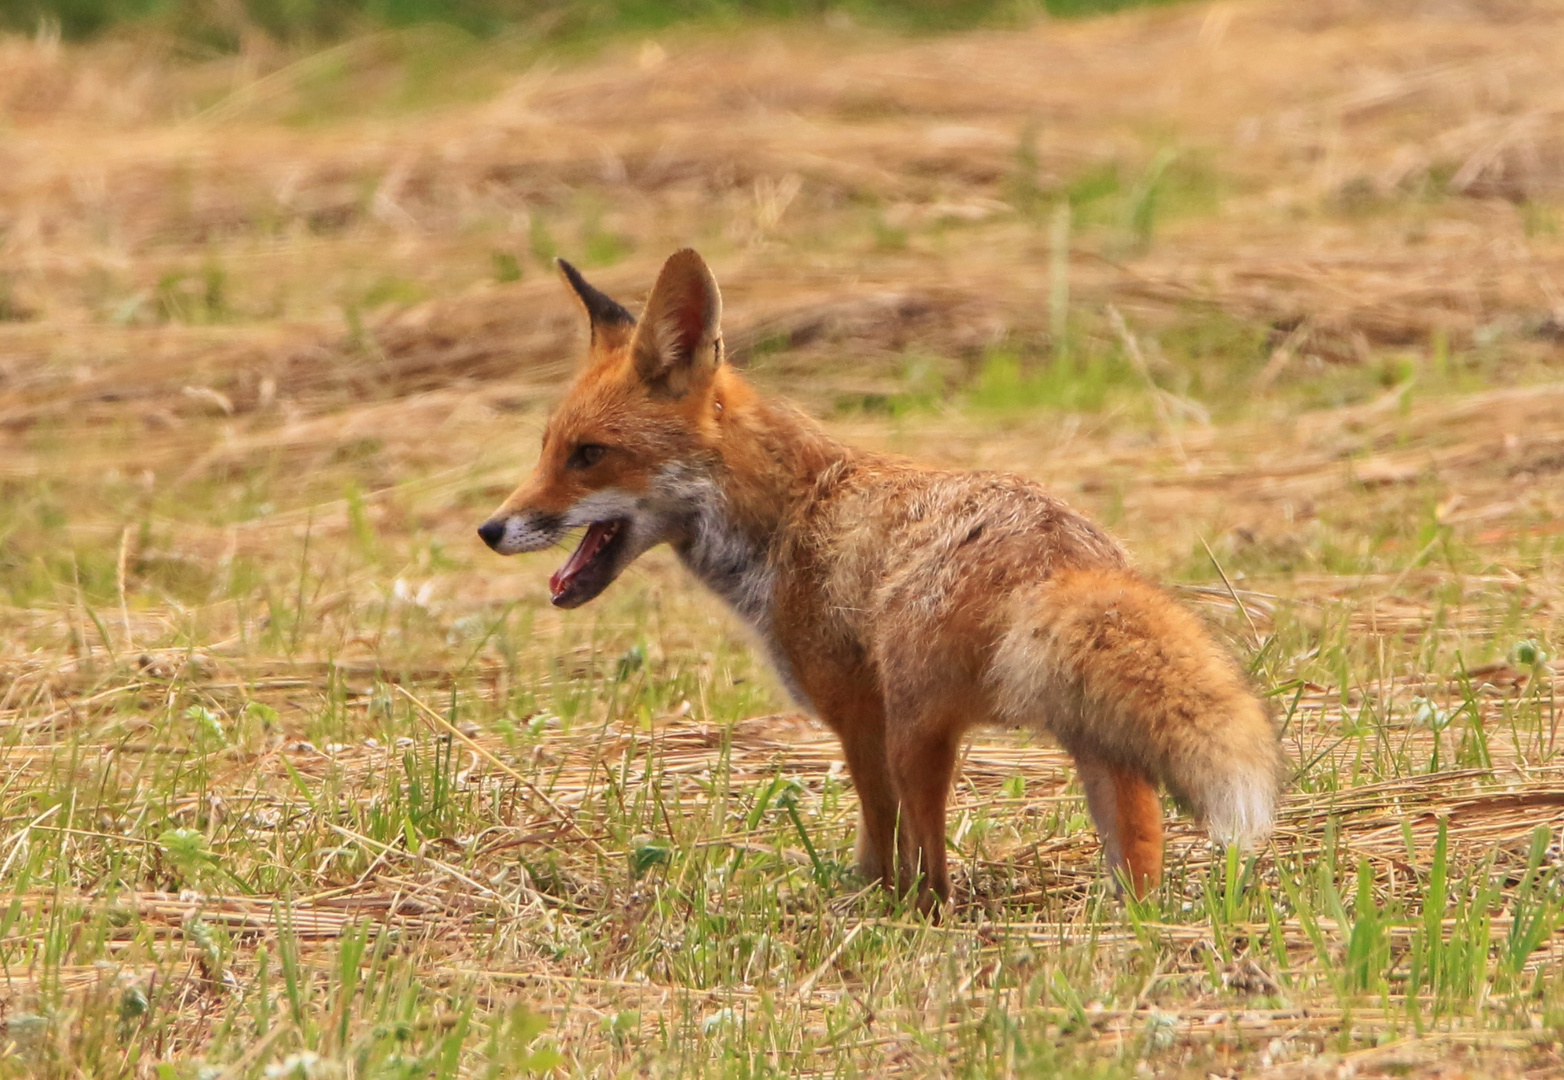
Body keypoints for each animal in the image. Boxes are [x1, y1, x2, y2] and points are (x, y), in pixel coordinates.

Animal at [478, 248, 1282, 906]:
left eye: (589, 455)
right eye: (547, 448)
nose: (490, 529)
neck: (788, 515)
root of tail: (1063, 555)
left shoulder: (856, 714)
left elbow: (878, 843)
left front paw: (862, 907)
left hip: (915, 729)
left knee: (935, 875)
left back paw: (924, 919)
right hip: (1093, 740)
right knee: (1138, 854)